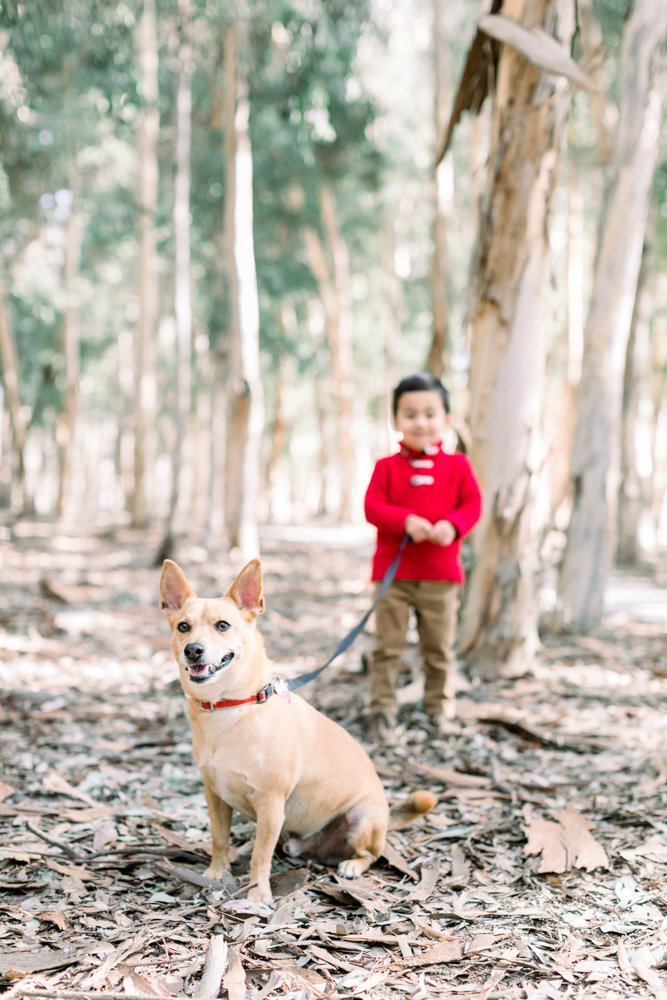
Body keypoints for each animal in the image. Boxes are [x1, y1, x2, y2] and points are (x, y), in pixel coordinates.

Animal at [159, 560, 436, 904]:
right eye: (183, 627)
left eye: (222, 626)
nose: (193, 650)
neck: (231, 707)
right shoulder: (215, 796)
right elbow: (219, 839)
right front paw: (214, 873)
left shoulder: (270, 803)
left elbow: (261, 857)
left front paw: (258, 895)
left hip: (362, 819)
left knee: (371, 854)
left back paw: (352, 866)